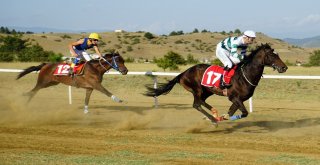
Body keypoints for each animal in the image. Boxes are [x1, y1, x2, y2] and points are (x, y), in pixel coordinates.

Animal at [146, 43, 288, 124]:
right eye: (272, 55)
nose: (284, 67)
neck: (245, 76)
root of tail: (184, 73)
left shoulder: (239, 99)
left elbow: (232, 112)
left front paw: (224, 116)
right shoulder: (234, 97)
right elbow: (244, 113)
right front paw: (223, 118)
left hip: (207, 91)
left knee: (201, 102)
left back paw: (213, 114)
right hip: (197, 89)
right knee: (196, 104)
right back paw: (213, 119)